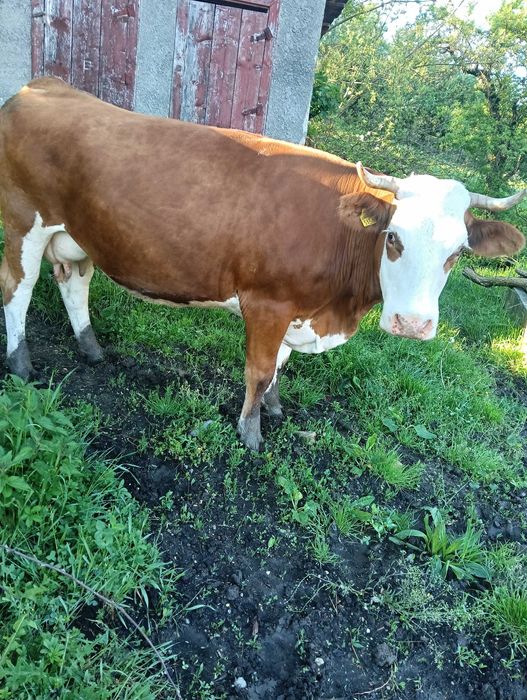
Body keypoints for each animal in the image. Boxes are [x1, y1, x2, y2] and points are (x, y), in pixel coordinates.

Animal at [0, 78, 525, 450]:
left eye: (456, 254)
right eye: (393, 238)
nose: (412, 325)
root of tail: (41, 85)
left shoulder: (297, 310)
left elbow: (280, 367)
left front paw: (274, 408)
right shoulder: (267, 304)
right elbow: (259, 368)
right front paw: (250, 434)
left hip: (79, 234)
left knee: (74, 282)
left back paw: (90, 349)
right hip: (24, 222)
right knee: (17, 290)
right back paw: (21, 365)